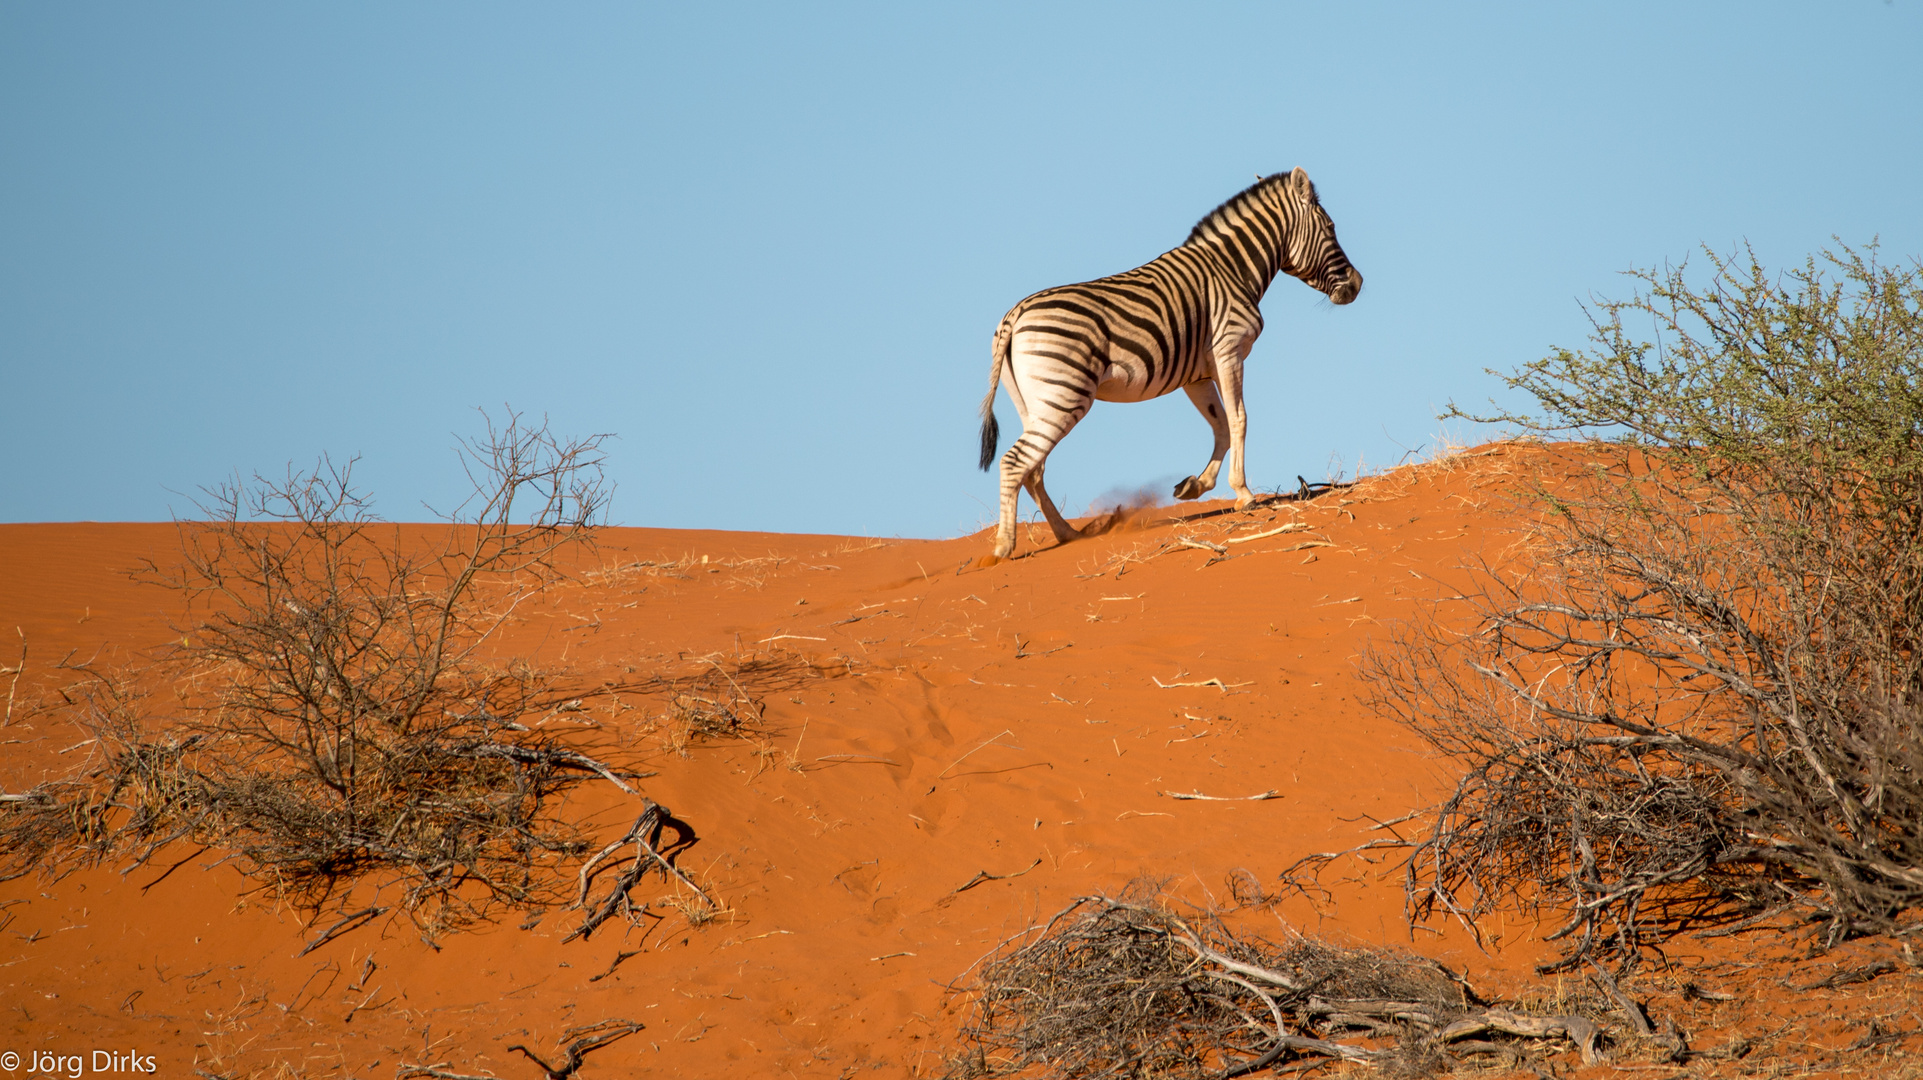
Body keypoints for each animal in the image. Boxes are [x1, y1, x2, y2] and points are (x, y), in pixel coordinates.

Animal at [969, 168, 1361, 557]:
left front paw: (1196, 485)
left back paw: (1068, 534)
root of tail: (1013, 316)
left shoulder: (1197, 375)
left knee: (1033, 469)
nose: (1357, 284)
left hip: (1035, 403)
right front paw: (1244, 494)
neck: (1232, 269)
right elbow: (1240, 419)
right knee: (1016, 462)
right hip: (1065, 397)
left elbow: (1220, 425)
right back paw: (1004, 547)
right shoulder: (1229, 350)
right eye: (1330, 228)